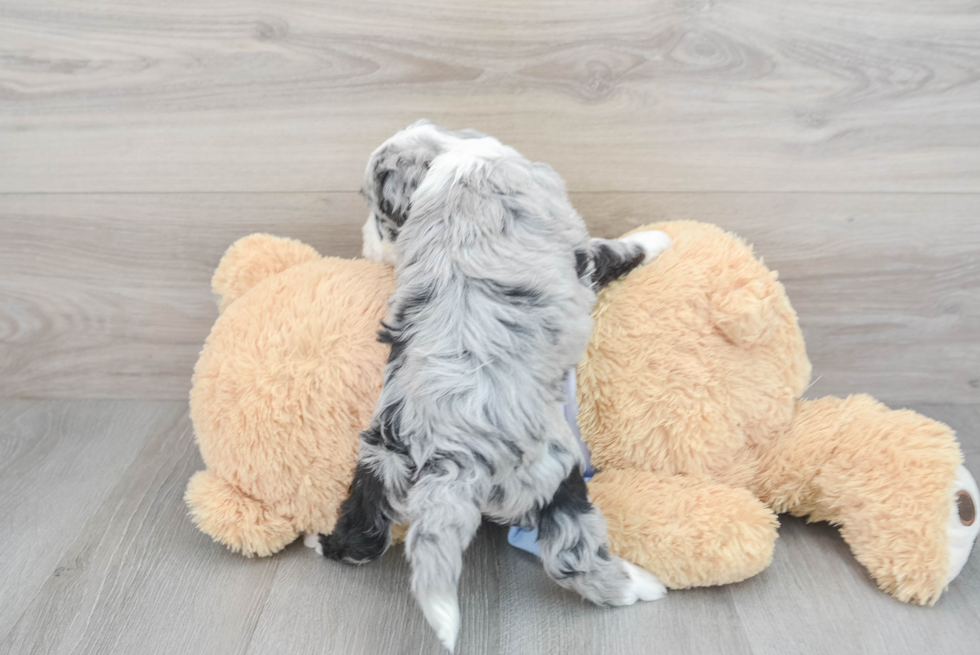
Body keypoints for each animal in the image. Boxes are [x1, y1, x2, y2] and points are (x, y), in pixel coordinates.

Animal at [318, 121, 668, 652]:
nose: (367, 246)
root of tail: (448, 457)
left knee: (364, 530)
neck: (455, 154)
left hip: (380, 460)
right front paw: (657, 238)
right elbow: (614, 249)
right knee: (571, 555)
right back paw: (640, 586)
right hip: (552, 474)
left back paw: (327, 544)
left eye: (381, 216)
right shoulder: (579, 251)